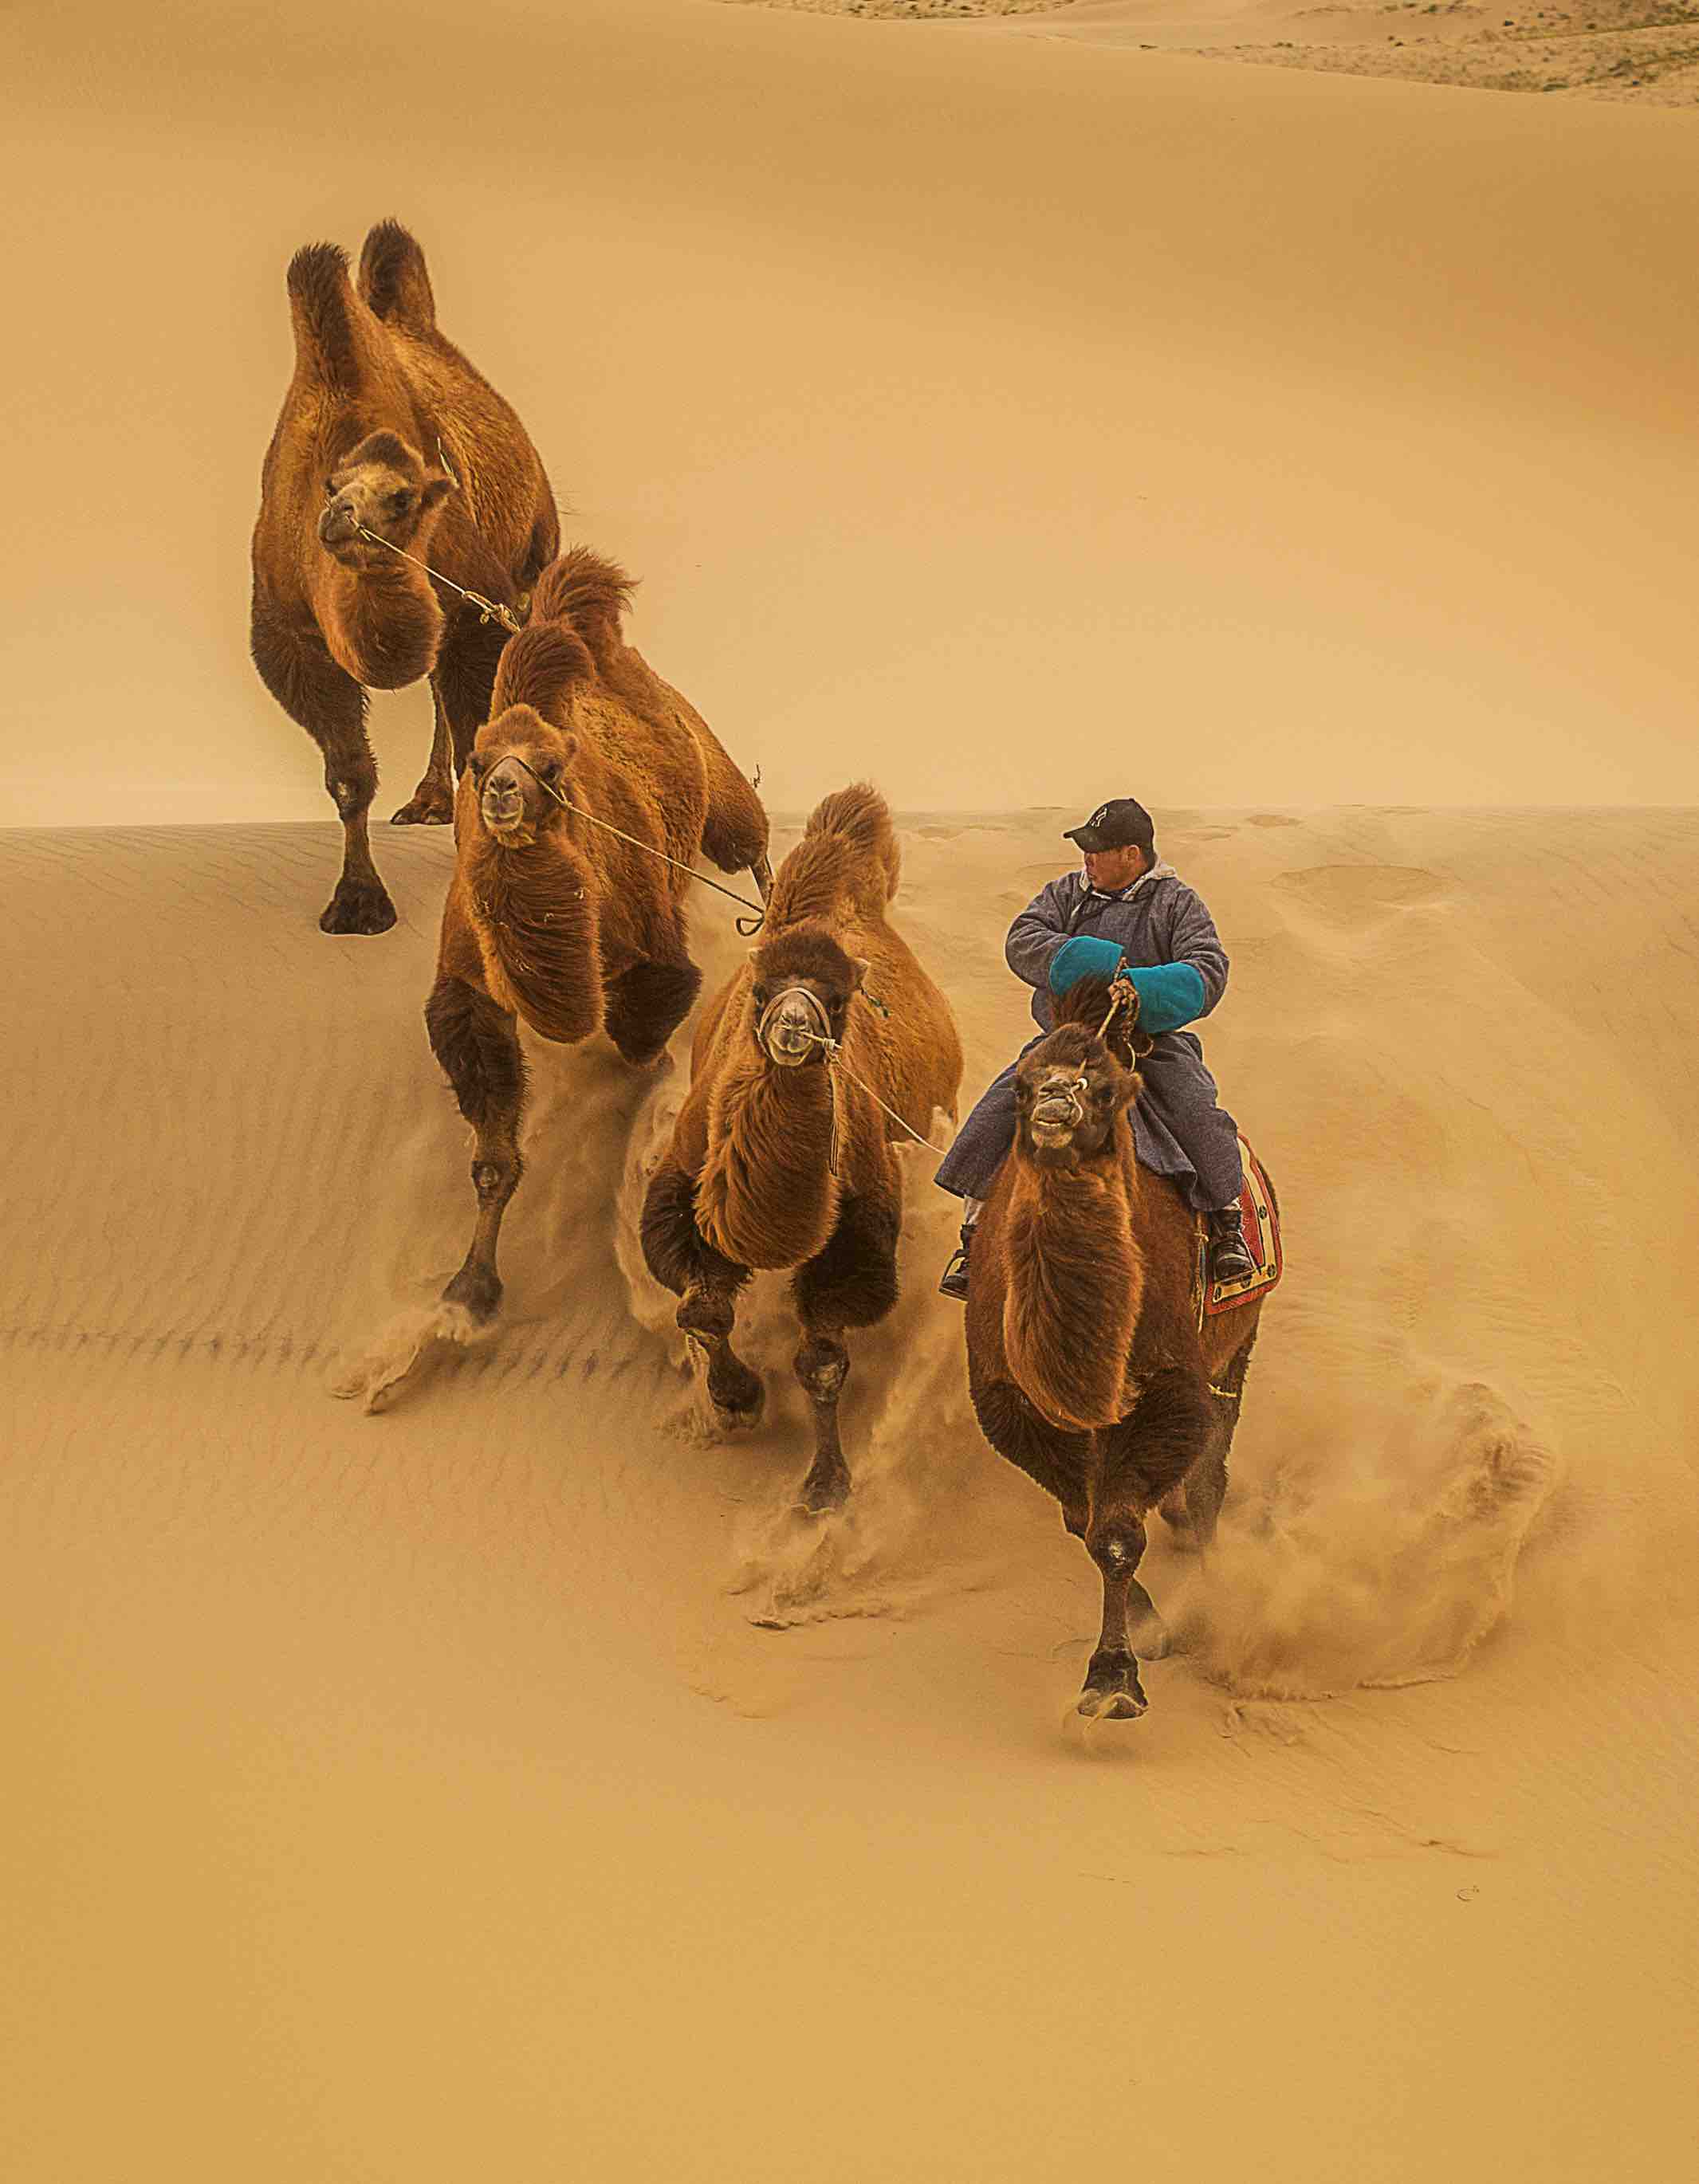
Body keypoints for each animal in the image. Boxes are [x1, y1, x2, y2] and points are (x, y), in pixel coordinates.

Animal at [250, 219, 557, 930]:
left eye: (407, 498)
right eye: (334, 487)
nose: (340, 519)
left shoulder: (479, 608)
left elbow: (482, 739)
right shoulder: (287, 639)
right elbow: (347, 776)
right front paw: (357, 900)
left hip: (535, 558)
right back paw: (427, 803)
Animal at [423, 546, 769, 1327]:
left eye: (550, 766)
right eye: (478, 762)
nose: (503, 792)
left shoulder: (653, 964)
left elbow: (641, 1043)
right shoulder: (470, 993)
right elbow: (493, 1160)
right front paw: (468, 1293)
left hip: (719, 782)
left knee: (754, 843)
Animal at [637, 786, 961, 1520]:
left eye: (838, 1001)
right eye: (760, 990)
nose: (792, 1026)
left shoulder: (859, 1231)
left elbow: (821, 1362)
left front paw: (825, 1483)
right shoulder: (682, 1193)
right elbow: (702, 1310)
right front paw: (736, 1400)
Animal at [961, 978, 1266, 1721]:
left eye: (1107, 1088)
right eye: (1022, 1083)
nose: (1054, 1103)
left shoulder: (1170, 1385)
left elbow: (1118, 1533)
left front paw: (1112, 1679)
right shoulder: (1011, 1403)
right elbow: (1084, 1519)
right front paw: (1144, 1630)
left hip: (1236, 1346)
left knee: (1211, 1475)